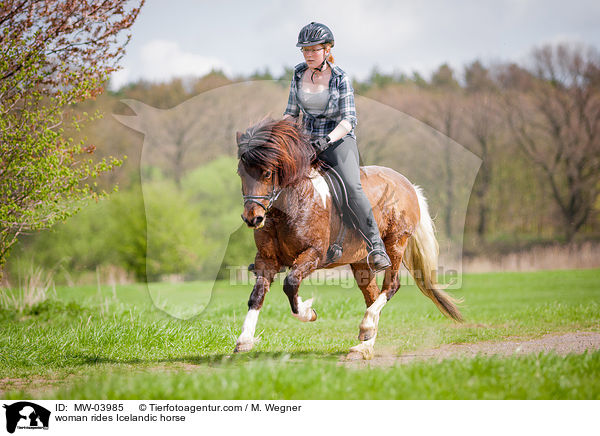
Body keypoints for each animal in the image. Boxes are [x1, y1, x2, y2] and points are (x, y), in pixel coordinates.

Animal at [232, 117, 462, 360]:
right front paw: (244, 340)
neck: (289, 206)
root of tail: (408, 185)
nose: (253, 218)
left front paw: (308, 311)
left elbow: (291, 283)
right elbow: (256, 295)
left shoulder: (313, 254)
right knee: (372, 295)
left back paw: (366, 328)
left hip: (395, 243)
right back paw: (364, 344)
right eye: (240, 173)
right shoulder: (266, 260)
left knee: (391, 286)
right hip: (361, 261)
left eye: (267, 173)